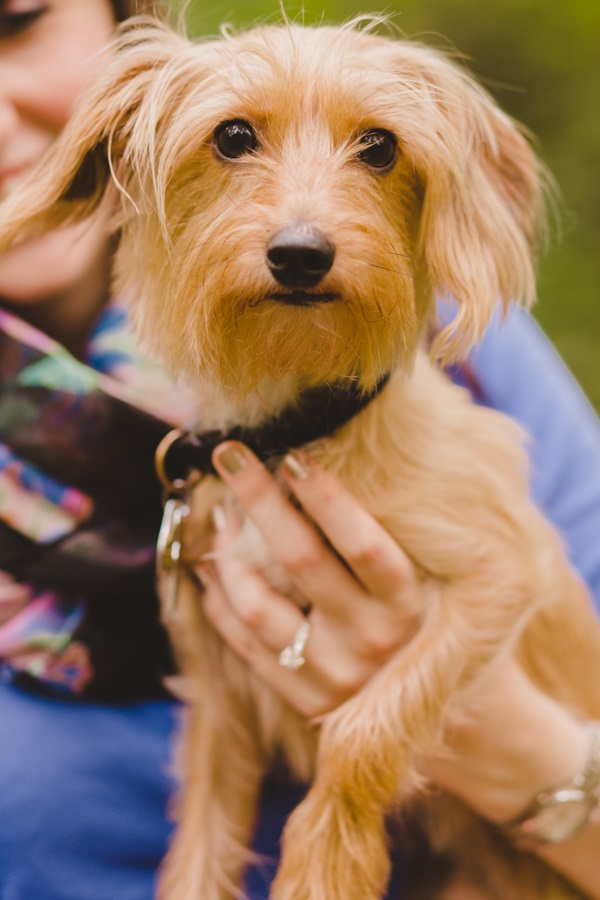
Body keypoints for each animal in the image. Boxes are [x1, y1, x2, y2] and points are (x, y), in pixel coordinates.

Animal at [1, 15, 600, 900]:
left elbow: (367, 726)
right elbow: (201, 838)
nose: (301, 254)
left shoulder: (497, 579)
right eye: (232, 136)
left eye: (380, 147)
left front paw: (326, 861)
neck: (289, 431)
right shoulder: (215, 694)